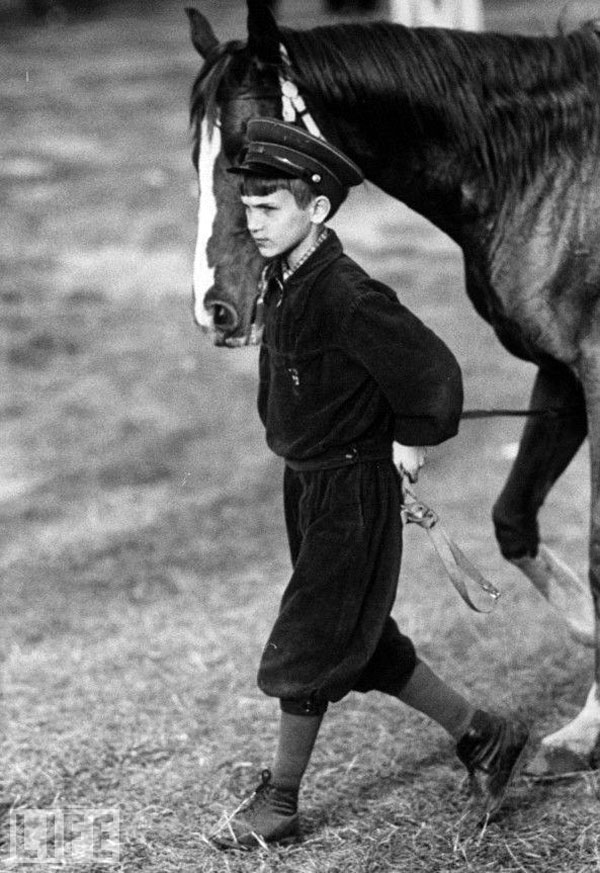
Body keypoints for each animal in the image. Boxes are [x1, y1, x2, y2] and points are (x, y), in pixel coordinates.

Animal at [189, 0, 600, 776]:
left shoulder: (593, 370)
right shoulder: (562, 375)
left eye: (241, 159)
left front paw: (589, 727)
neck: (543, 170)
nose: (212, 309)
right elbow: (512, 518)